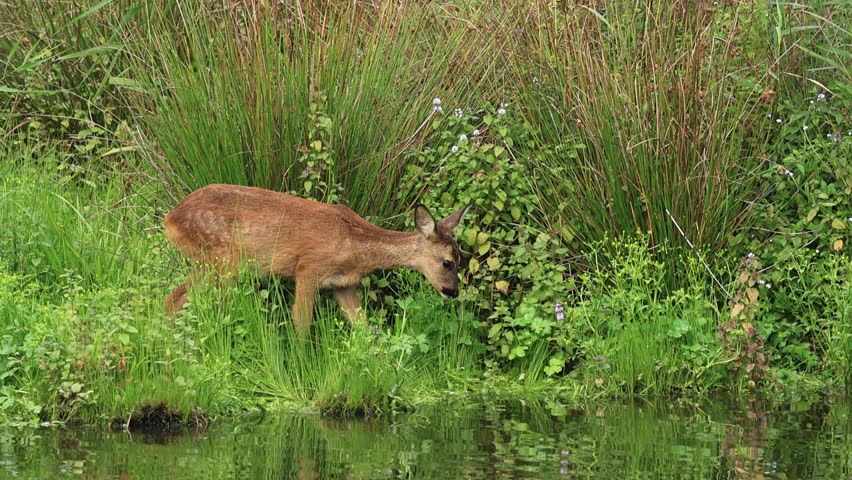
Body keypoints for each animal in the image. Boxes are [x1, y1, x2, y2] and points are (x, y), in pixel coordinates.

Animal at [163, 184, 472, 334]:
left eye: (461, 259)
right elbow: (301, 321)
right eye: (447, 262)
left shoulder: (344, 284)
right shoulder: (307, 267)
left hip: (209, 263)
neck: (356, 245)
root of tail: (170, 219)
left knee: (174, 299)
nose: (452, 292)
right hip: (222, 260)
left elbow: (363, 327)